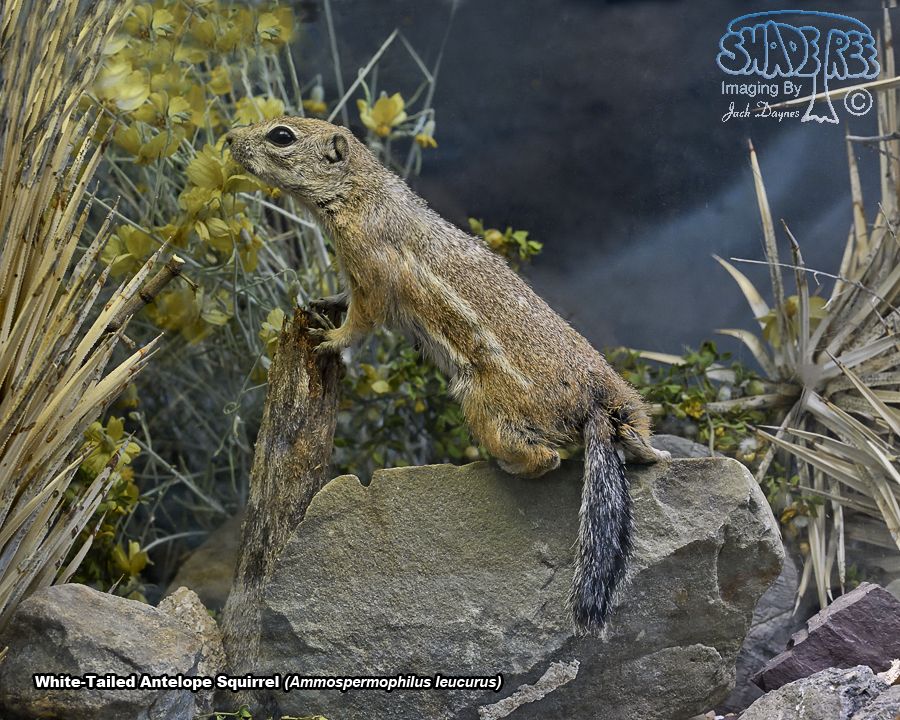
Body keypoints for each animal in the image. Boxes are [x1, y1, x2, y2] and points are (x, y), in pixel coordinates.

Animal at [226, 117, 670, 634]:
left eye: (282, 135)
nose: (230, 138)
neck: (365, 196)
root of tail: (596, 407)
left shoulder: (372, 276)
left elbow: (361, 322)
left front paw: (329, 339)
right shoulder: (353, 277)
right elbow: (343, 298)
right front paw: (320, 303)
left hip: (485, 410)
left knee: (545, 459)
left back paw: (505, 466)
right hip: (629, 404)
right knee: (637, 441)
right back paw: (653, 452)